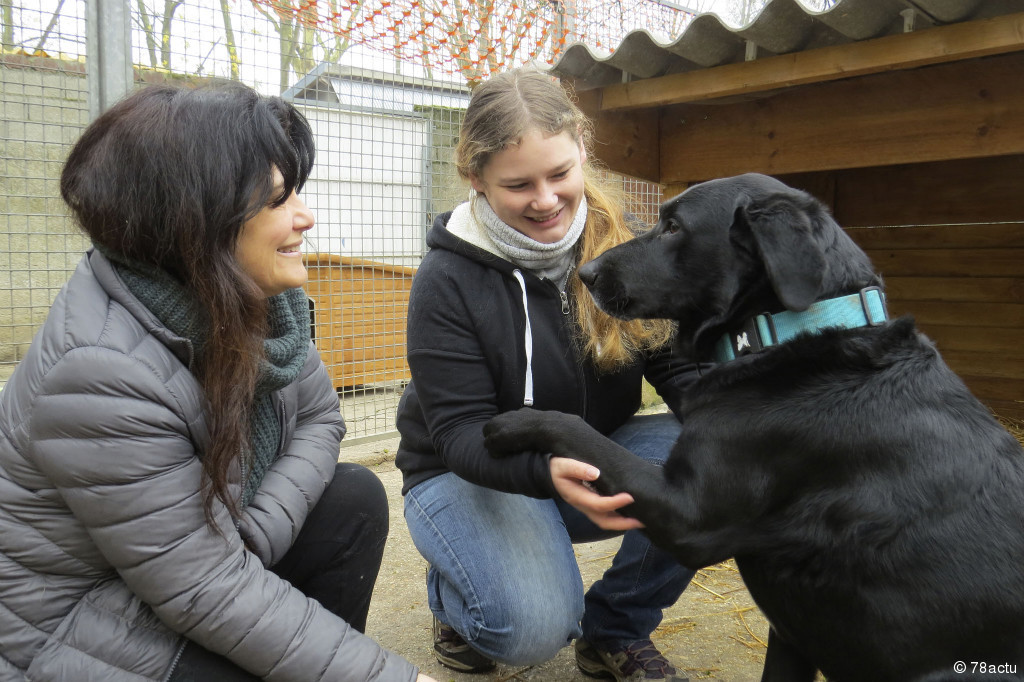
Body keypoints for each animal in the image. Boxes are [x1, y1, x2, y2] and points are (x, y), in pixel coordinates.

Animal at [483, 174, 1024, 679]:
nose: (587, 273)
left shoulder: (686, 511)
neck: (789, 331)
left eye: (674, 227)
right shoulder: (793, 634)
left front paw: (514, 422)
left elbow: (580, 432)